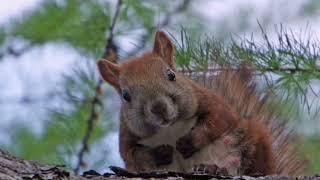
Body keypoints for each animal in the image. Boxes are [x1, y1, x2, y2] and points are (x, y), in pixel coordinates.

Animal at [98, 30, 308, 175]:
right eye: (126, 96)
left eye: (171, 75)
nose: (159, 108)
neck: (169, 129)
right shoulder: (127, 136)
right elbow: (132, 155)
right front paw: (160, 153)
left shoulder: (210, 101)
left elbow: (219, 120)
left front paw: (188, 142)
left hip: (254, 142)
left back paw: (215, 169)